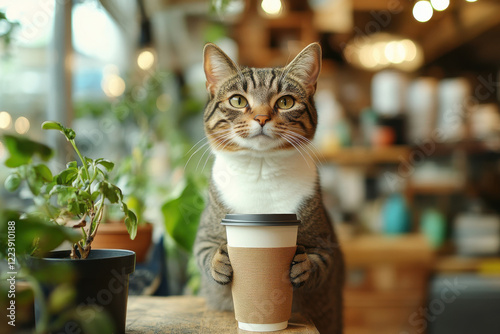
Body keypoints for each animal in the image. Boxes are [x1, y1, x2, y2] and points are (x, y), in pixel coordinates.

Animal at [192, 42, 344, 334]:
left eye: (285, 102)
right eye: (238, 100)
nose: (262, 118)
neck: (260, 169)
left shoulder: (324, 242)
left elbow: (320, 261)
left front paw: (303, 266)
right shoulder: (206, 233)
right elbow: (204, 253)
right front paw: (220, 262)